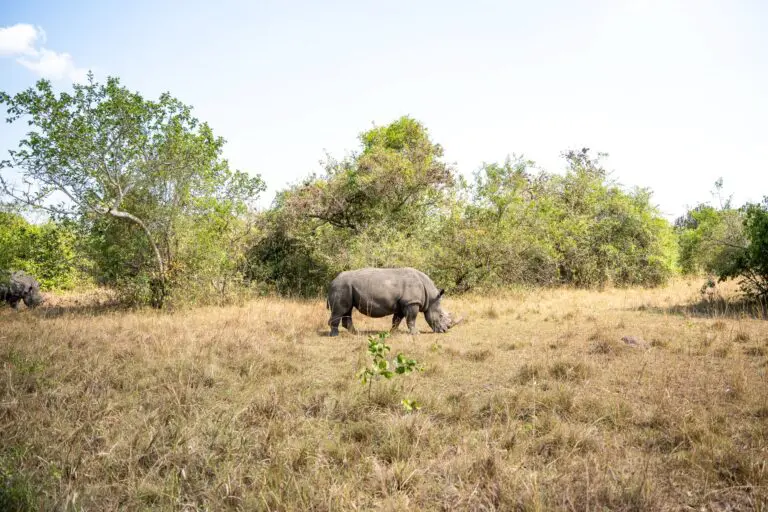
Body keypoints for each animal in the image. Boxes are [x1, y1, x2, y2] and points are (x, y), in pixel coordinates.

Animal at [327, 267, 460, 336]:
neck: (431, 297)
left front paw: (393, 332)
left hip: (346, 287)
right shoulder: (412, 302)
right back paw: (335, 335)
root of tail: (332, 281)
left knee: (347, 309)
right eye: (441, 315)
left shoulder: (403, 304)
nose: (444, 331)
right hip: (341, 287)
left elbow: (397, 320)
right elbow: (411, 319)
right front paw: (416, 333)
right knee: (340, 310)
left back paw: (355, 333)